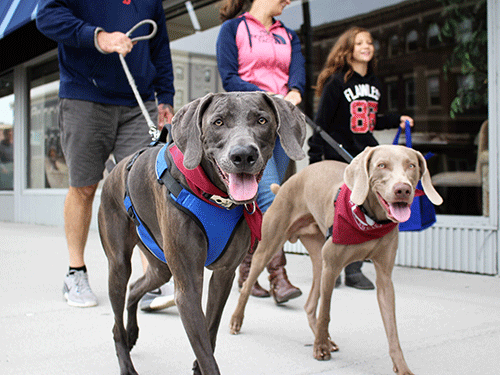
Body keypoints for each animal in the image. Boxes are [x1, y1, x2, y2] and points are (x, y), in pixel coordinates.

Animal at [97, 92, 306, 375]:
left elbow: (210, 331)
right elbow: (206, 352)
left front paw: (197, 365)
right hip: (119, 263)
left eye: (262, 120)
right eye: (218, 122)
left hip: (160, 266)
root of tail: (114, 171)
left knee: (136, 287)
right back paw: (126, 362)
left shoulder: (224, 275)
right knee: (117, 317)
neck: (214, 196)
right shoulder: (187, 288)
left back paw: (132, 333)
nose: (243, 155)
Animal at [229, 146, 444, 375]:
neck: (369, 219)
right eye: (381, 165)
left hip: (318, 260)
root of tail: (288, 183)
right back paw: (236, 321)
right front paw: (320, 349)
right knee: (248, 284)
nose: (402, 189)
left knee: (309, 304)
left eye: (411, 165)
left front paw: (401, 366)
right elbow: (326, 312)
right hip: (271, 245)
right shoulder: (332, 267)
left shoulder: (385, 278)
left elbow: (392, 327)